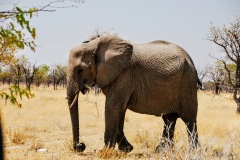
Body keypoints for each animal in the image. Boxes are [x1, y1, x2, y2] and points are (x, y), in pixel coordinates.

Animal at [66, 34, 202, 152]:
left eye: (80, 70)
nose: (81, 145)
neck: (94, 45)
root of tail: (191, 60)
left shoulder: (124, 75)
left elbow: (112, 107)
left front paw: (104, 151)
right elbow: (120, 109)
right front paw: (126, 149)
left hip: (187, 82)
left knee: (189, 120)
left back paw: (193, 152)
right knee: (169, 119)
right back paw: (161, 151)